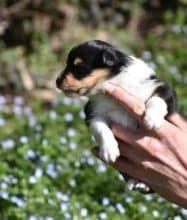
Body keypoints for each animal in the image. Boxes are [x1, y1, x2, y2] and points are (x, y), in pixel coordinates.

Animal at [56, 40, 177, 193]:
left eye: (79, 68)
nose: (56, 81)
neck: (116, 81)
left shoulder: (164, 89)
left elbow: (157, 99)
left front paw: (152, 120)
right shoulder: (93, 112)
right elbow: (101, 128)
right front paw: (109, 150)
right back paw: (135, 183)